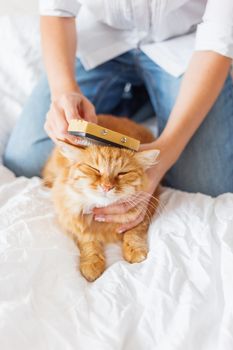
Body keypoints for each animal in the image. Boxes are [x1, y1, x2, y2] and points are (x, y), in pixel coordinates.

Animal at [42, 116, 159, 284]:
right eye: (95, 169)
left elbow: (134, 233)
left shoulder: (144, 210)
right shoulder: (76, 224)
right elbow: (89, 243)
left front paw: (135, 251)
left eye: (122, 173)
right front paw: (91, 265)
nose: (107, 186)